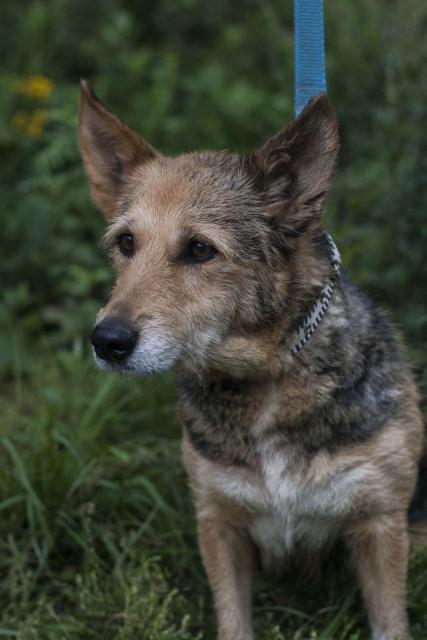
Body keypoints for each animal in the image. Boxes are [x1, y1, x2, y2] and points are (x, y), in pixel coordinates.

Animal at [79, 80, 424, 640]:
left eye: (200, 249)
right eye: (126, 242)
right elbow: (234, 622)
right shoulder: (219, 524)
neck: (266, 378)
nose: (106, 340)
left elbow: (390, 624)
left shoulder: (380, 524)